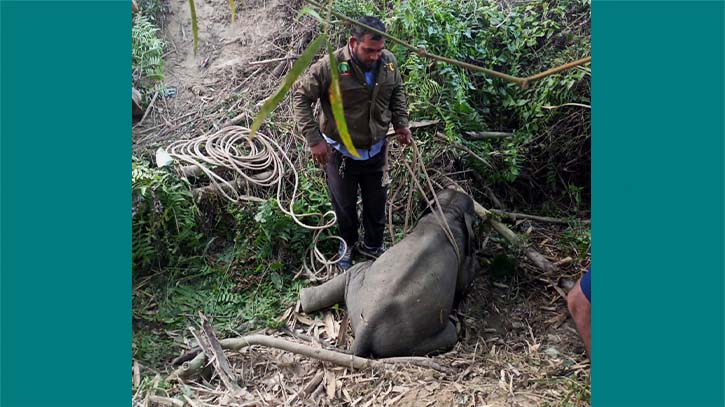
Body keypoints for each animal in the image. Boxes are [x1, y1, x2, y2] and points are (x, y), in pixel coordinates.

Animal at [300, 188, 480, 356]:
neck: (447, 212)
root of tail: (366, 330)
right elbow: (464, 281)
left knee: (355, 271)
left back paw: (304, 296)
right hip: (409, 341)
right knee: (451, 334)